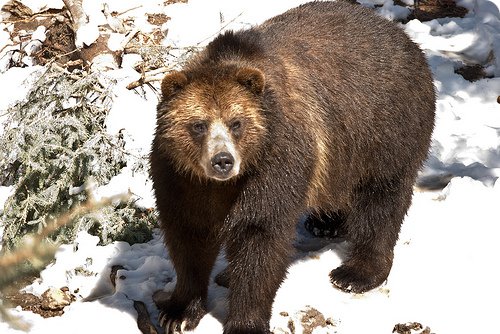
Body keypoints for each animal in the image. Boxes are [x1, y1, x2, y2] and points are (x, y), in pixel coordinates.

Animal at [148, 1, 434, 332]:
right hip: (342, 155)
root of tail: (401, 36)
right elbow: (188, 238)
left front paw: (245, 321)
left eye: (236, 123)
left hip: (384, 128)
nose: (223, 160)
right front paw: (178, 312)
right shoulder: (180, 177)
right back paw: (326, 222)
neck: (223, 186)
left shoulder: (275, 164)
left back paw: (355, 273)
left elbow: (261, 240)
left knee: (381, 198)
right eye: (198, 124)